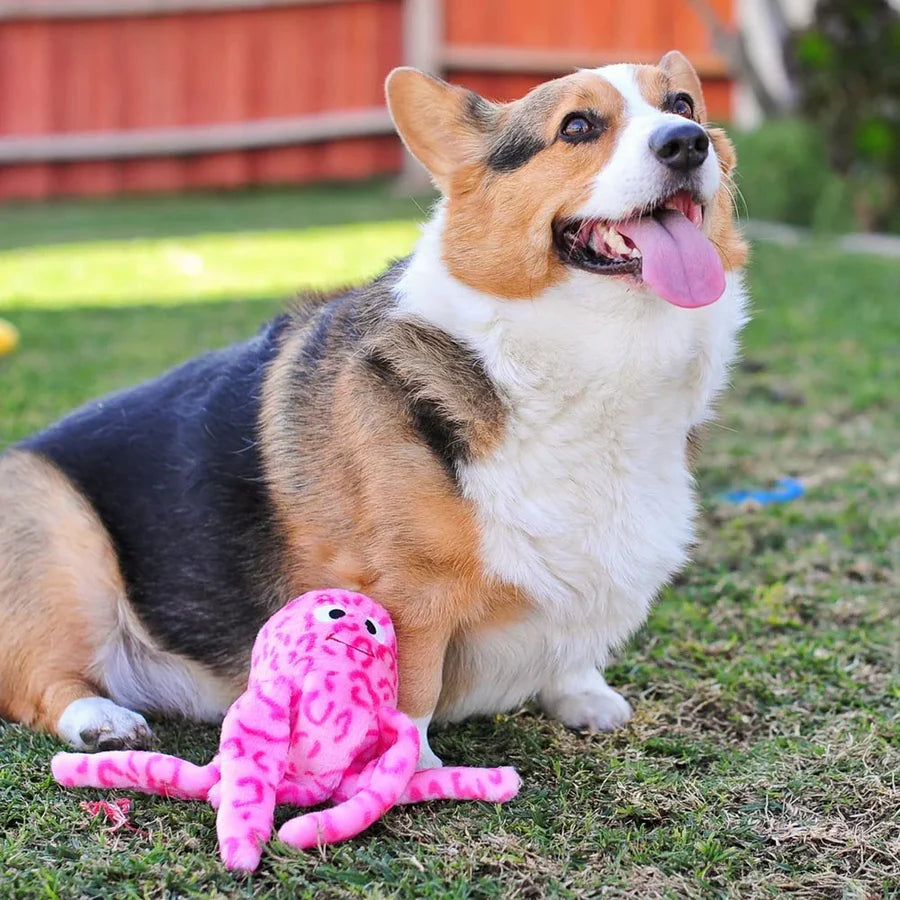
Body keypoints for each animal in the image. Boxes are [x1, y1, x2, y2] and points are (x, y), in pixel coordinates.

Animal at [0, 51, 744, 768]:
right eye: (579, 126)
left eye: (683, 105)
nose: (687, 143)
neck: (595, 357)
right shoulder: (408, 592)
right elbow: (411, 687)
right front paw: (407, 770)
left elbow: (569, 655)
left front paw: (581, 696)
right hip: (60, 532)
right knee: (38, 684)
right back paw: (100, 719)